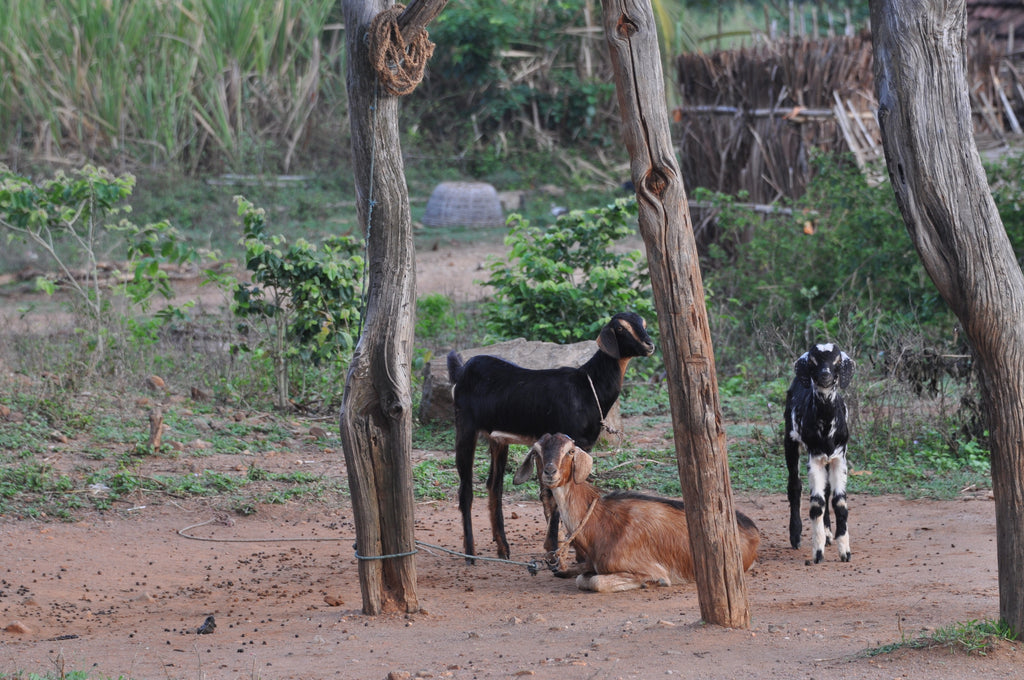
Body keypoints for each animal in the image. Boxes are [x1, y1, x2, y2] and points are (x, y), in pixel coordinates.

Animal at [448, 311, 655, 561]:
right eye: (621, 328)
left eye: (643, 324)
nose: (649, 344)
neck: (588, 386)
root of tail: (461, 371)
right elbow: (556, 496)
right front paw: (555, 549)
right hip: (465, 427)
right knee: (466, 489)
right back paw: (470, 554)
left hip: (497, 439)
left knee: (493, 486)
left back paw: (503, 549)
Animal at [512, 432, 761, 593]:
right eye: (536, 452)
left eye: (570, 451)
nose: (550, 472)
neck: (600, 520)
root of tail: (751, 528)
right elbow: (582, 576)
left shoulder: (647, 566)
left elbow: (592, 581)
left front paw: (652, 583)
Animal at [782, 346, 856, 561]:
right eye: (813, 361)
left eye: (837, 361)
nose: (825, 375)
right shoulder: (814, 456)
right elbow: (816, 503)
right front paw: (817, 552)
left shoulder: (839, 456)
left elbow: (839, 501)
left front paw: (844, 551)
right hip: (790, 439)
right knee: (795, 485)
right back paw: (796, 536)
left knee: (827, 489)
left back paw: (829, 533)